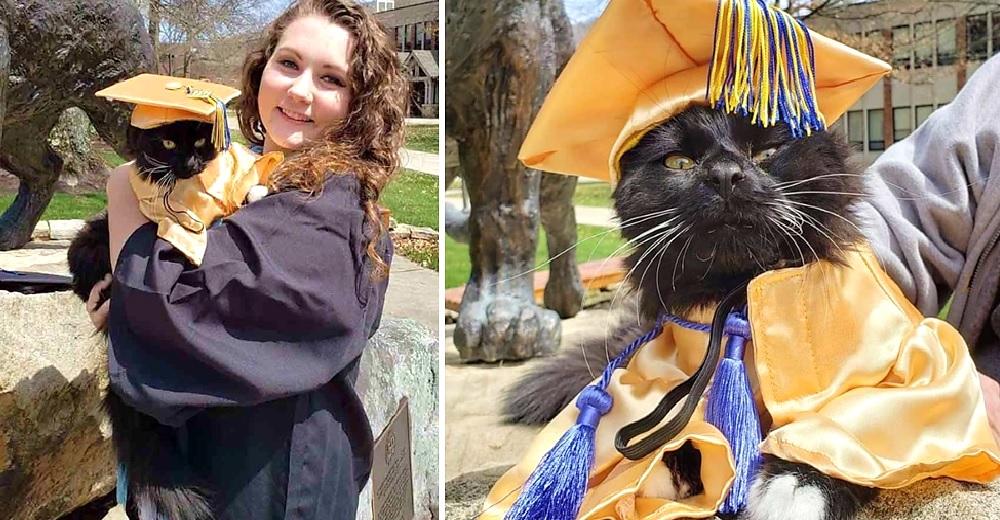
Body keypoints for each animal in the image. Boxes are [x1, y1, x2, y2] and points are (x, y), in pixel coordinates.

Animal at [508, 106, 876, 520]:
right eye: (679, 162)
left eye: (766, 152)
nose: (725, 175)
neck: (734, 296)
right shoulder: (670, 376)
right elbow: (674, 423)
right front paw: (664, 470)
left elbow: (836, 430)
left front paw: (796, 486)